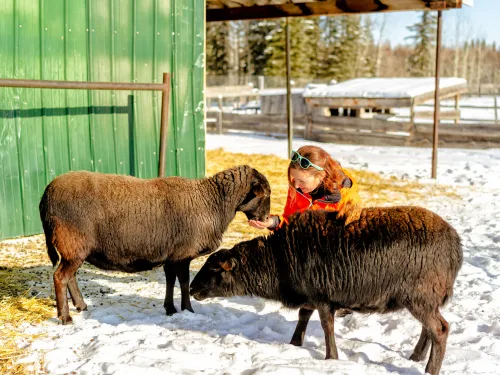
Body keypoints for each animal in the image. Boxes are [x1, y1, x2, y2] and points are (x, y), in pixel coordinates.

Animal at [40, 166, 272, 324]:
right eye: (266, 195)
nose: (266, 219)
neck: (211, 202)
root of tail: (46, 194)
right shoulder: (182, 254)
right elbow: (184, 283)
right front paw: (188, 310)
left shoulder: (171, 254)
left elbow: (170, 280)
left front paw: (170, 308)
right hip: (73, 242)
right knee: (60, 277)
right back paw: (65, 317)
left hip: (73, 248)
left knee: (69, 277)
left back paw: (80, 306)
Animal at [189, 207, 462, 374]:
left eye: (214, 268)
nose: (192, 288)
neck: (278, 259)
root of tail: (455, 246)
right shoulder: (311, 295)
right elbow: (303, 316)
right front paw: (295, 343)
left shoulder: (323, 297)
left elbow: (326, 325)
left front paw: (331, 358)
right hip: (424, 298)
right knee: (429, 328)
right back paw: (416, 357)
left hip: (420, 296)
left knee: (440, 329)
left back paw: (429, 369)